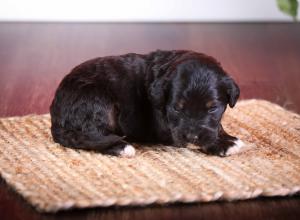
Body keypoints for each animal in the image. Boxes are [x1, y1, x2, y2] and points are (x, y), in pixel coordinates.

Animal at [51, 49, 244, 156]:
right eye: (176, 108)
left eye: (213, 108)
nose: (191, 136)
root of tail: (56, 117)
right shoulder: (167, 127)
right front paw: (224, 145)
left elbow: (216, 126)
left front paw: (227, 137)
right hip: (98, 100)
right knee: (91, 135)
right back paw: (122, 147)